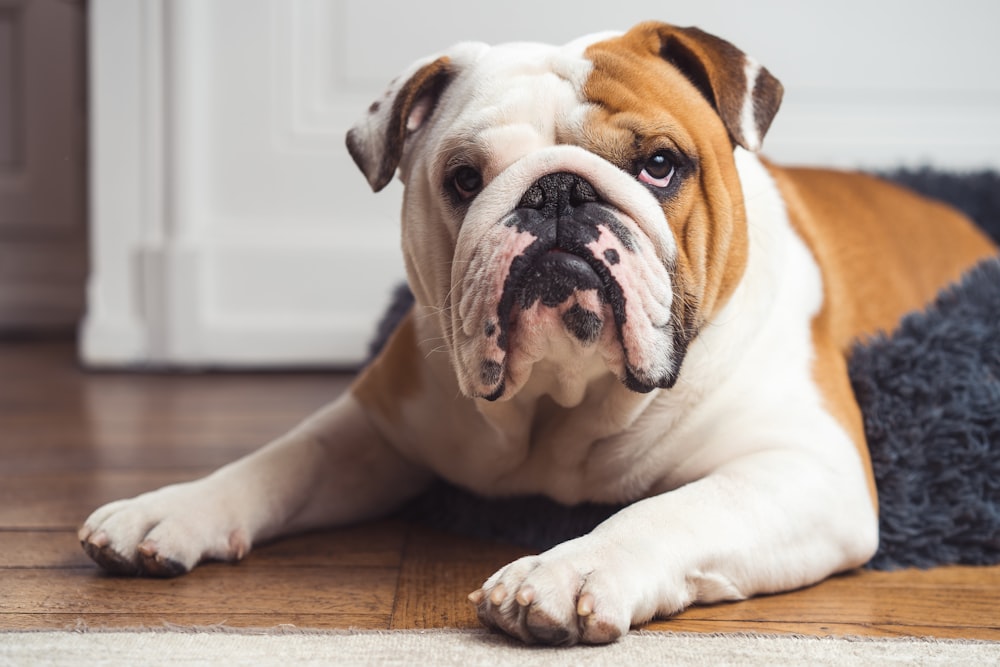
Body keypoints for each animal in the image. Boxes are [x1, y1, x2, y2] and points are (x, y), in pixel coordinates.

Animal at [76, 20, 992, 648]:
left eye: (661, 165)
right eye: (463, 178)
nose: (556, 192)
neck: (564, 401)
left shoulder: (804, 469)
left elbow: (672, 510)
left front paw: (566, 569)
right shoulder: (375, 426)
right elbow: (277, 461)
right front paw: (168, 510)